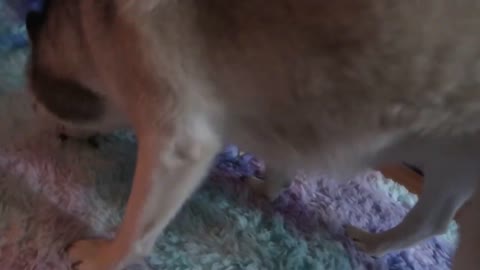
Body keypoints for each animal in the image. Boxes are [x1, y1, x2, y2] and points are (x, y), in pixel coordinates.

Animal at [25, 0, 480, 270]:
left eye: (38, 102)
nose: (47, 128)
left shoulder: (177, 142)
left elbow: (137, 229)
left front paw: (104, 257)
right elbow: (281, 156)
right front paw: (269, 185)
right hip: (447, 165)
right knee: (433, 220)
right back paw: (375, 242)